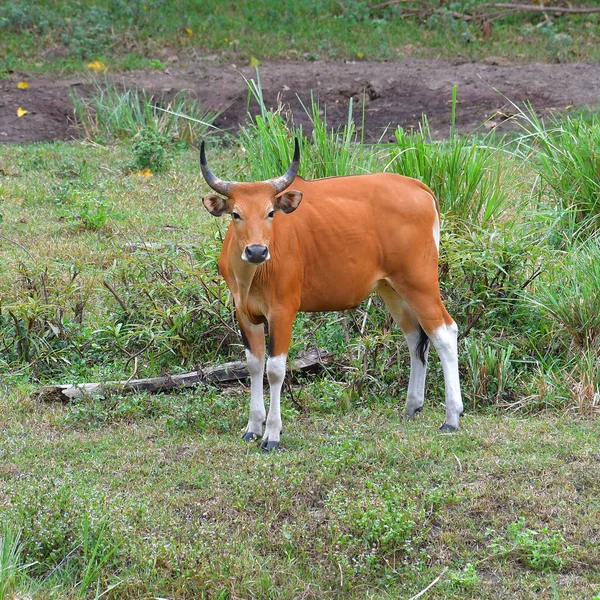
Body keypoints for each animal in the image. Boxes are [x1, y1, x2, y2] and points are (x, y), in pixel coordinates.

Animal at [202, 141, 464, 450]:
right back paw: (412, 407)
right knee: (415, 337)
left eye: (270, 212)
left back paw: (451, 417)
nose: (256, 250)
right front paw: (253, 427)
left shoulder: (283, 310)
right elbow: (254, 364)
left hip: (420, 282)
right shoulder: (244, 311)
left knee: (444, 333)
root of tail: (418, 186)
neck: (252, 276)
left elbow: (275, 369)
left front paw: (272, 434)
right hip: (391, 288)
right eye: (236, 214)